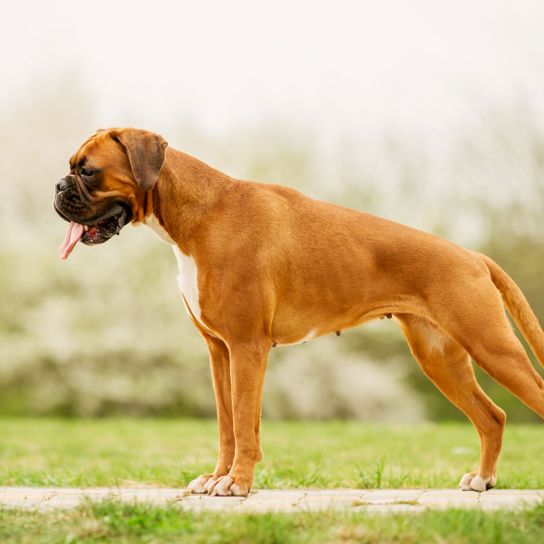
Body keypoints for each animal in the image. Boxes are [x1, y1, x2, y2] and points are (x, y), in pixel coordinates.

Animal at [54, 130, 544, 496]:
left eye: (88, 171)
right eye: (72, 168)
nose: (58, 187)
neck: (199, 213)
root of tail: (474, 256)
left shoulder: (247, 348)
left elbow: (245, 422)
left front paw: (237, 483)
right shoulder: (220, 352)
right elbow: (228, 424)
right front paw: (217, 477)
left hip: (493, 348)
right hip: (441, 359)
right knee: (492, 417)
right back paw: (482, 480)